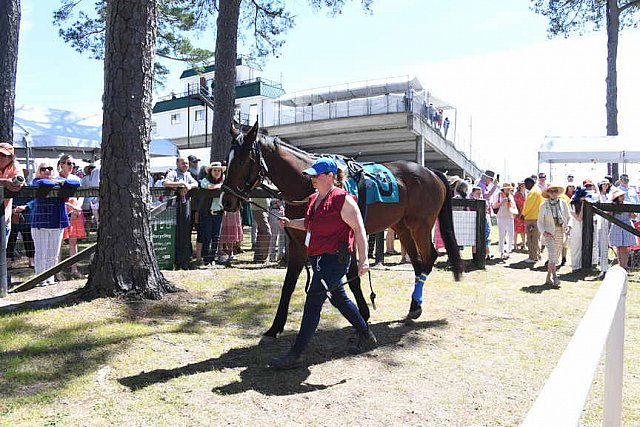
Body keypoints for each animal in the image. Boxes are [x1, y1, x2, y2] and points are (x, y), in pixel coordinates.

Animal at [221, 122, 460, 342]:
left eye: (241, 160)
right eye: (226, 160)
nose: (226, 200)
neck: (309, 185)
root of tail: (431, 172)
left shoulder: (347, 239)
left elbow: (352, 278)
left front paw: (363, 314)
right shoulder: (298, 245)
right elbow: (288, 285)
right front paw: (274, 328)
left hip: (420, 226)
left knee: (429, 258)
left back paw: (415, 305)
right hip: (402, 227)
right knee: (418, 264)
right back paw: (414, 306)